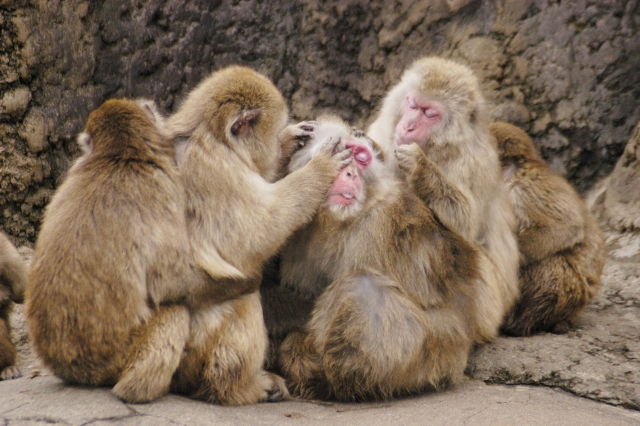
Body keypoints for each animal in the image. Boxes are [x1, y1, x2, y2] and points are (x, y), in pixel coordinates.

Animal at [26, 98, 258, 404]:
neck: (121, 155)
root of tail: (76, 370)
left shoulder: (77, 168)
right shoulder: (166, 189)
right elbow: (170, 282)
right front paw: (246, 283)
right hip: (116, 360)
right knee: (175, 312)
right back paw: (141, 390)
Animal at [165, 65, 352, 404]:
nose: (277, 145)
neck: (212, 136)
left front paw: (291, 140)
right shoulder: (216, 172)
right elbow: (253, 236)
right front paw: (320, 168)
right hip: (194, 351)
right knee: (243, 292)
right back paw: (236, 386)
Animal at [272, 115, 482, 402]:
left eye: (360, 157)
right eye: (341, 152)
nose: (350, 173)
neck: (337, 220)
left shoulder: (376, 226)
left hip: (434, 359)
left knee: (362, 288)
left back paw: (334, 383)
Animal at [364, 56, 520, 342]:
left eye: (429, 113)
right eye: (412, 104)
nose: (408, 125)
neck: (437, 148)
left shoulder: (474, 162)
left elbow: (466, 224)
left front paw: (420, 167)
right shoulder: (383, 132)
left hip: (491, 313)